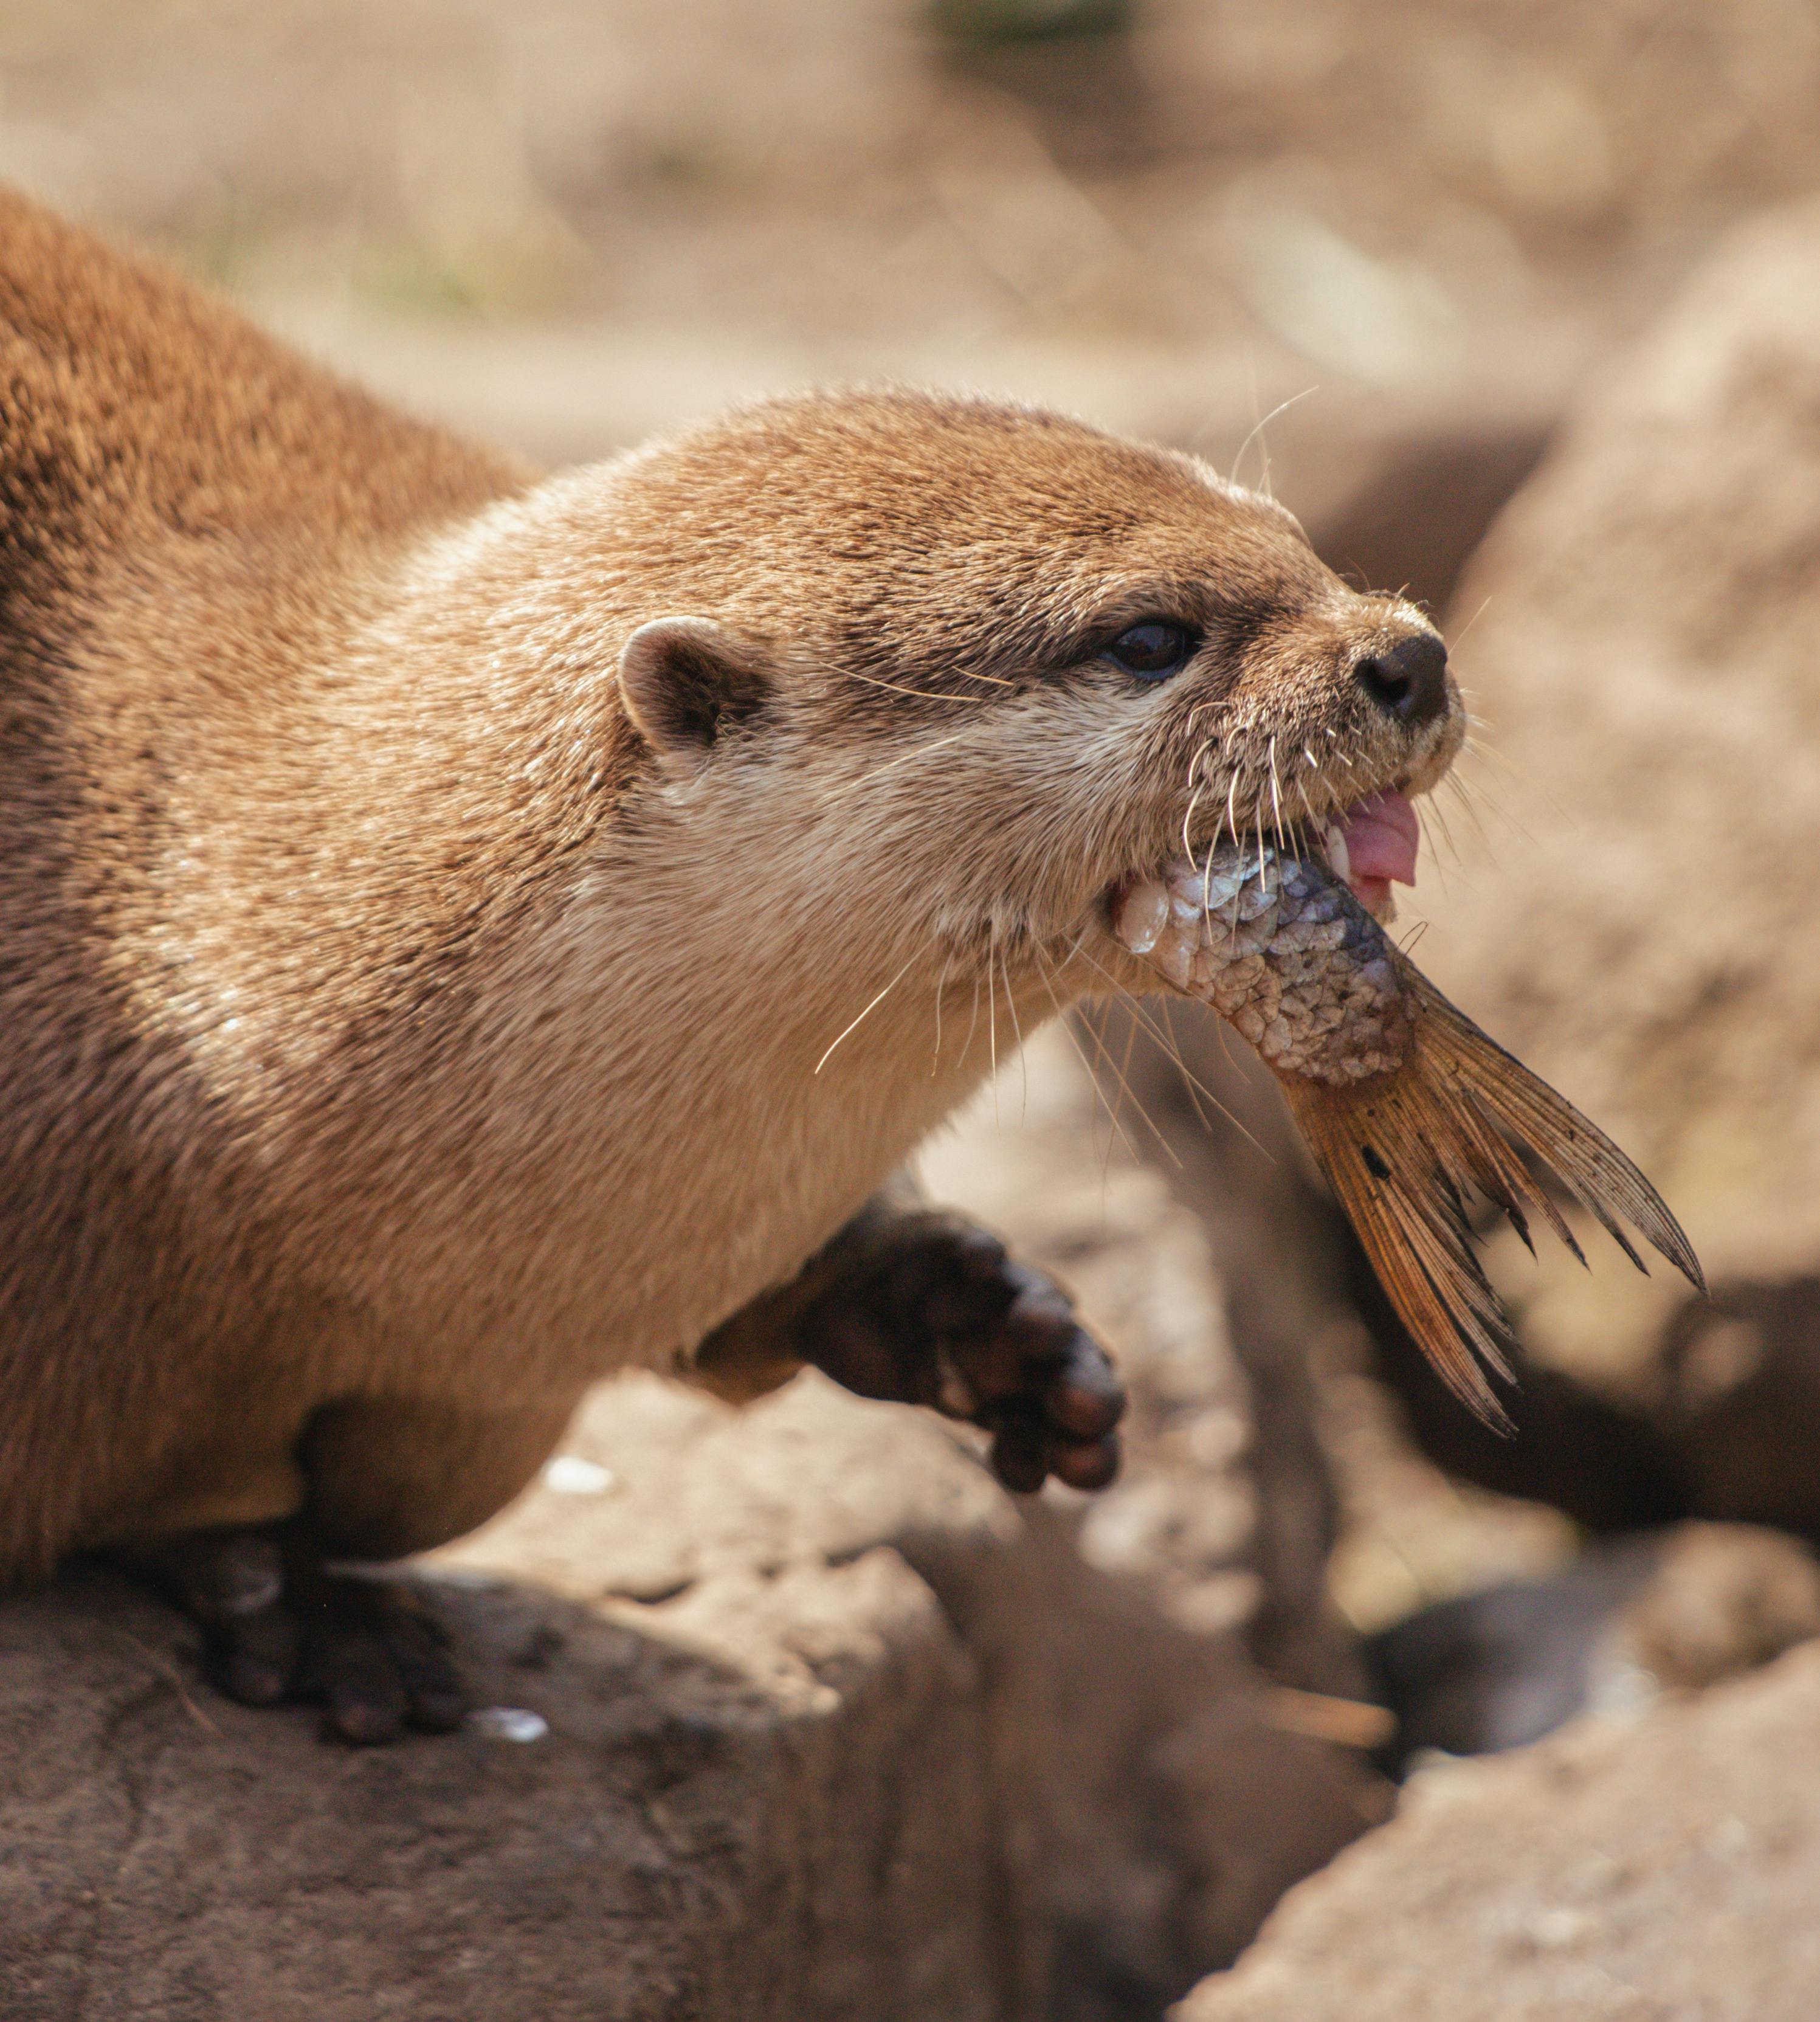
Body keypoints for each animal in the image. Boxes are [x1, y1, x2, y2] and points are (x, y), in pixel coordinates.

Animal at [0, 193, 1456, 1739]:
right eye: (1147, 636)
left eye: (1297, 538)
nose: (1409, 655)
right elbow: (198, 1493)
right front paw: (302, 1606)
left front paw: (980, 1316)